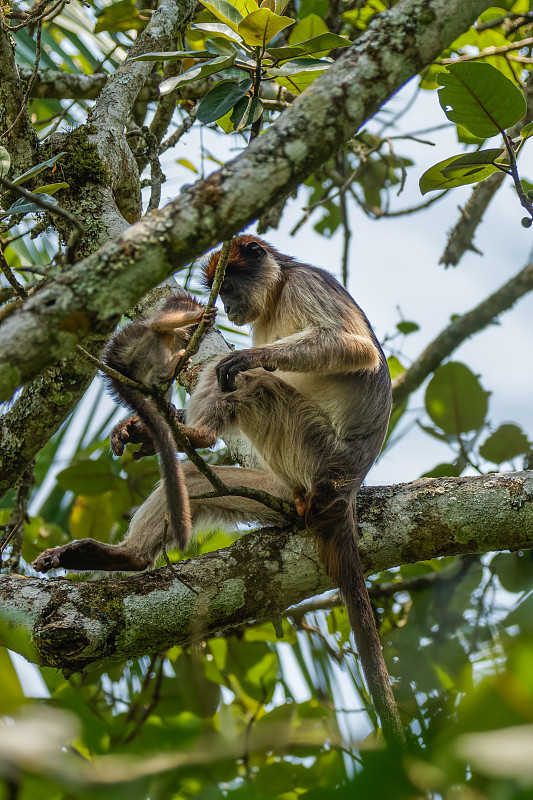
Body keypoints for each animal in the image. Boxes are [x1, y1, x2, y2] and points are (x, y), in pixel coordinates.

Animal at [33, 294, 215, 576]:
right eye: (191, 312)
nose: (196, 334)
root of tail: (119, 377)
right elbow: (160, 324)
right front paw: (199, 316)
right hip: (137, 356)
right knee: (157, 334)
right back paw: (168, 370)